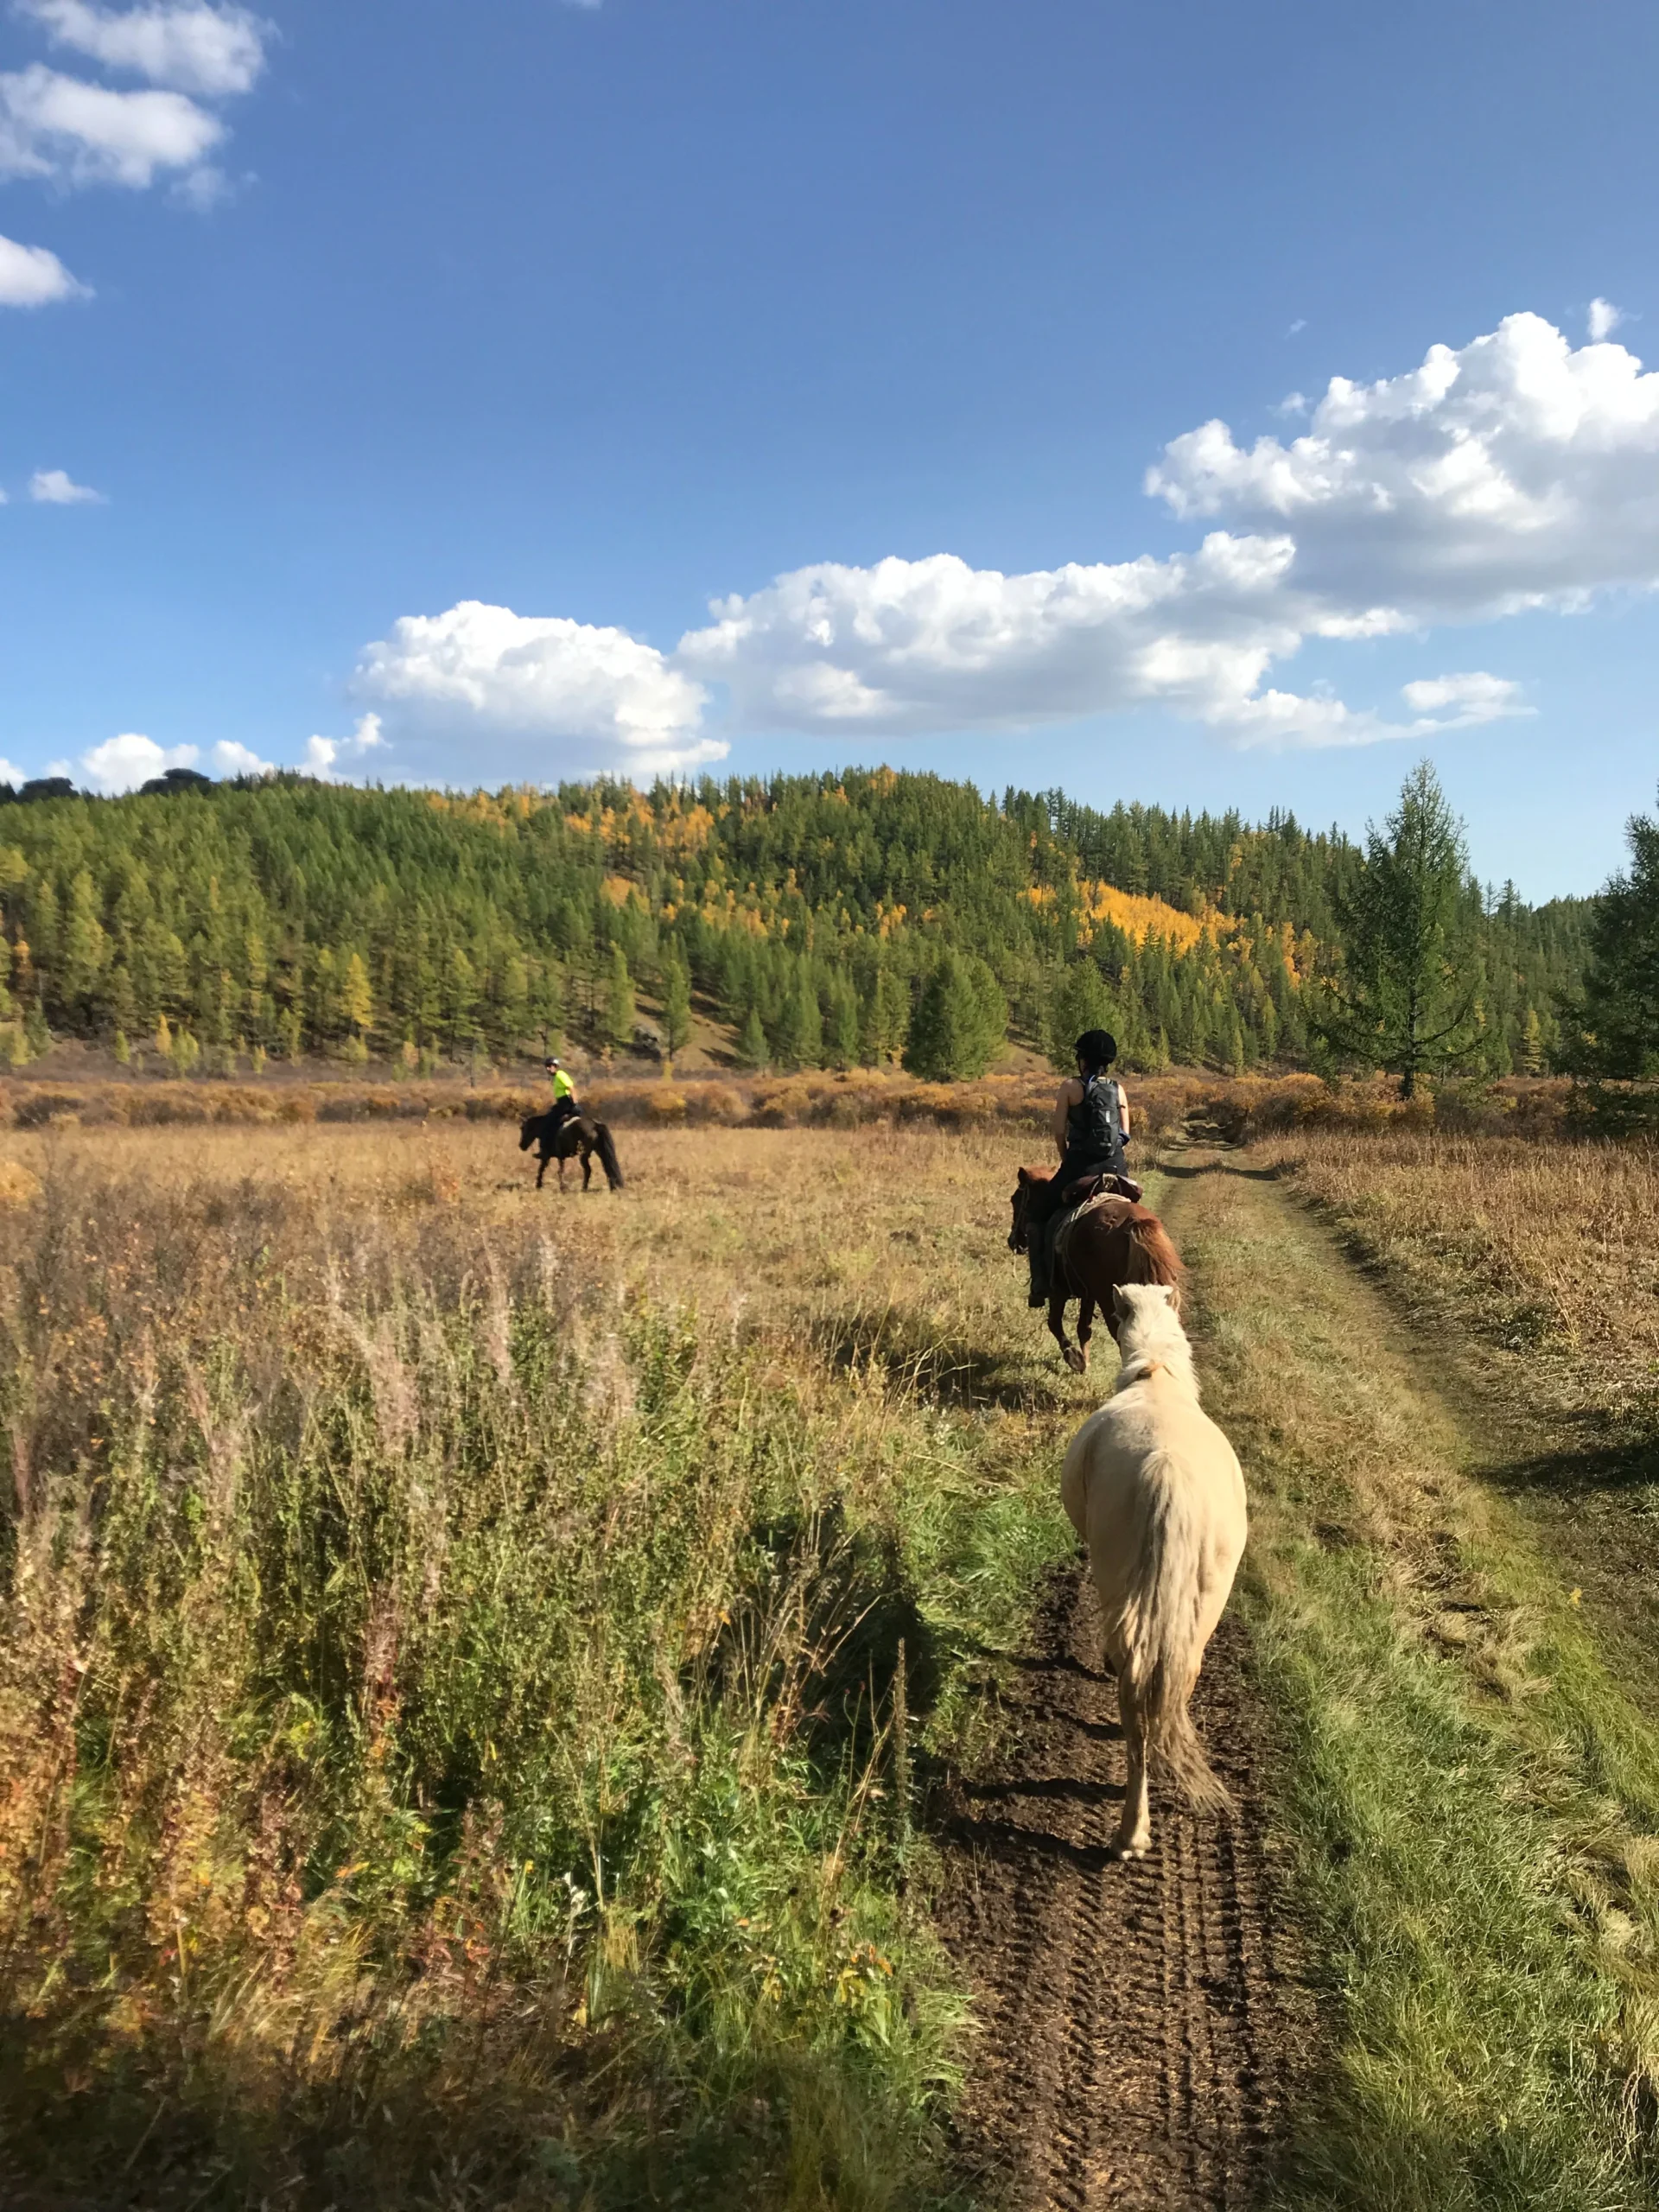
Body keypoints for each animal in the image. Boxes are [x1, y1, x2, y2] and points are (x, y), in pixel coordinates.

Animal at [1008, 1166, 1185, 1373]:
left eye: (1015, 1200)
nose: (1013, 1241)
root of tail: (1133, 1221)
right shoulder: (1088, 1293)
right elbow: (1084, 1328)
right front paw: (1085, 1361)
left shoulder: (1058, 1291)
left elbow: (1054, 1323)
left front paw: (1075, 1358)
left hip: (1110, 1301)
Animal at [1061, 1282, 1247, 1859]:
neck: (1157, 1376)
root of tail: (1168, 1471)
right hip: (1206, 1601)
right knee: (1179, 1678)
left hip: (1119, 1577)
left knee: (1134, 1689)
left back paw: (1130, 1833)